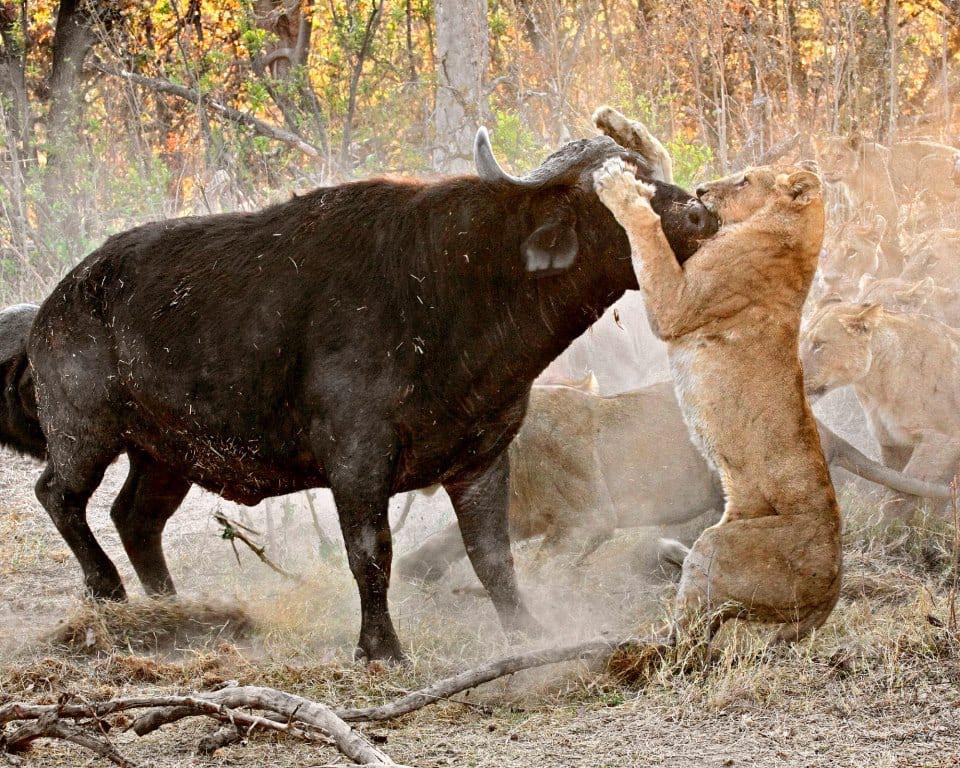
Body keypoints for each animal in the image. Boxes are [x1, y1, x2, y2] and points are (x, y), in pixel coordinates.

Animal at [7, 128, 716, 661]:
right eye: (613, 192)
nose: (699, 212)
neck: (452, 289)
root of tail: (56, 304)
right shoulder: (357, 462)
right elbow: (371, 555)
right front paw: (381, 649)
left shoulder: (482, 457)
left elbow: (492, 556)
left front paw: (528, 632)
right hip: (86, 432)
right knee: (60, 496)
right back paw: (107, 591)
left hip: (165, 454)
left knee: (135, 517)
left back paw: (172, 610)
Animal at [593, 158, 840, 643]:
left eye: (744, 180)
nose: (702, 189)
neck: (797, 242)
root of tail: (830, 598)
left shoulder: (677, 303)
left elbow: (649, 236)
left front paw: (622, 187)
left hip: (719, 546)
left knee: (687, 640)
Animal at [802, 301, 960, 522]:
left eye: (818, 344)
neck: (876, 386)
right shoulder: (892, 442)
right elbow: (897, 483)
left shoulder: (941, 441)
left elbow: (903, 493)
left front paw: (887, 528)